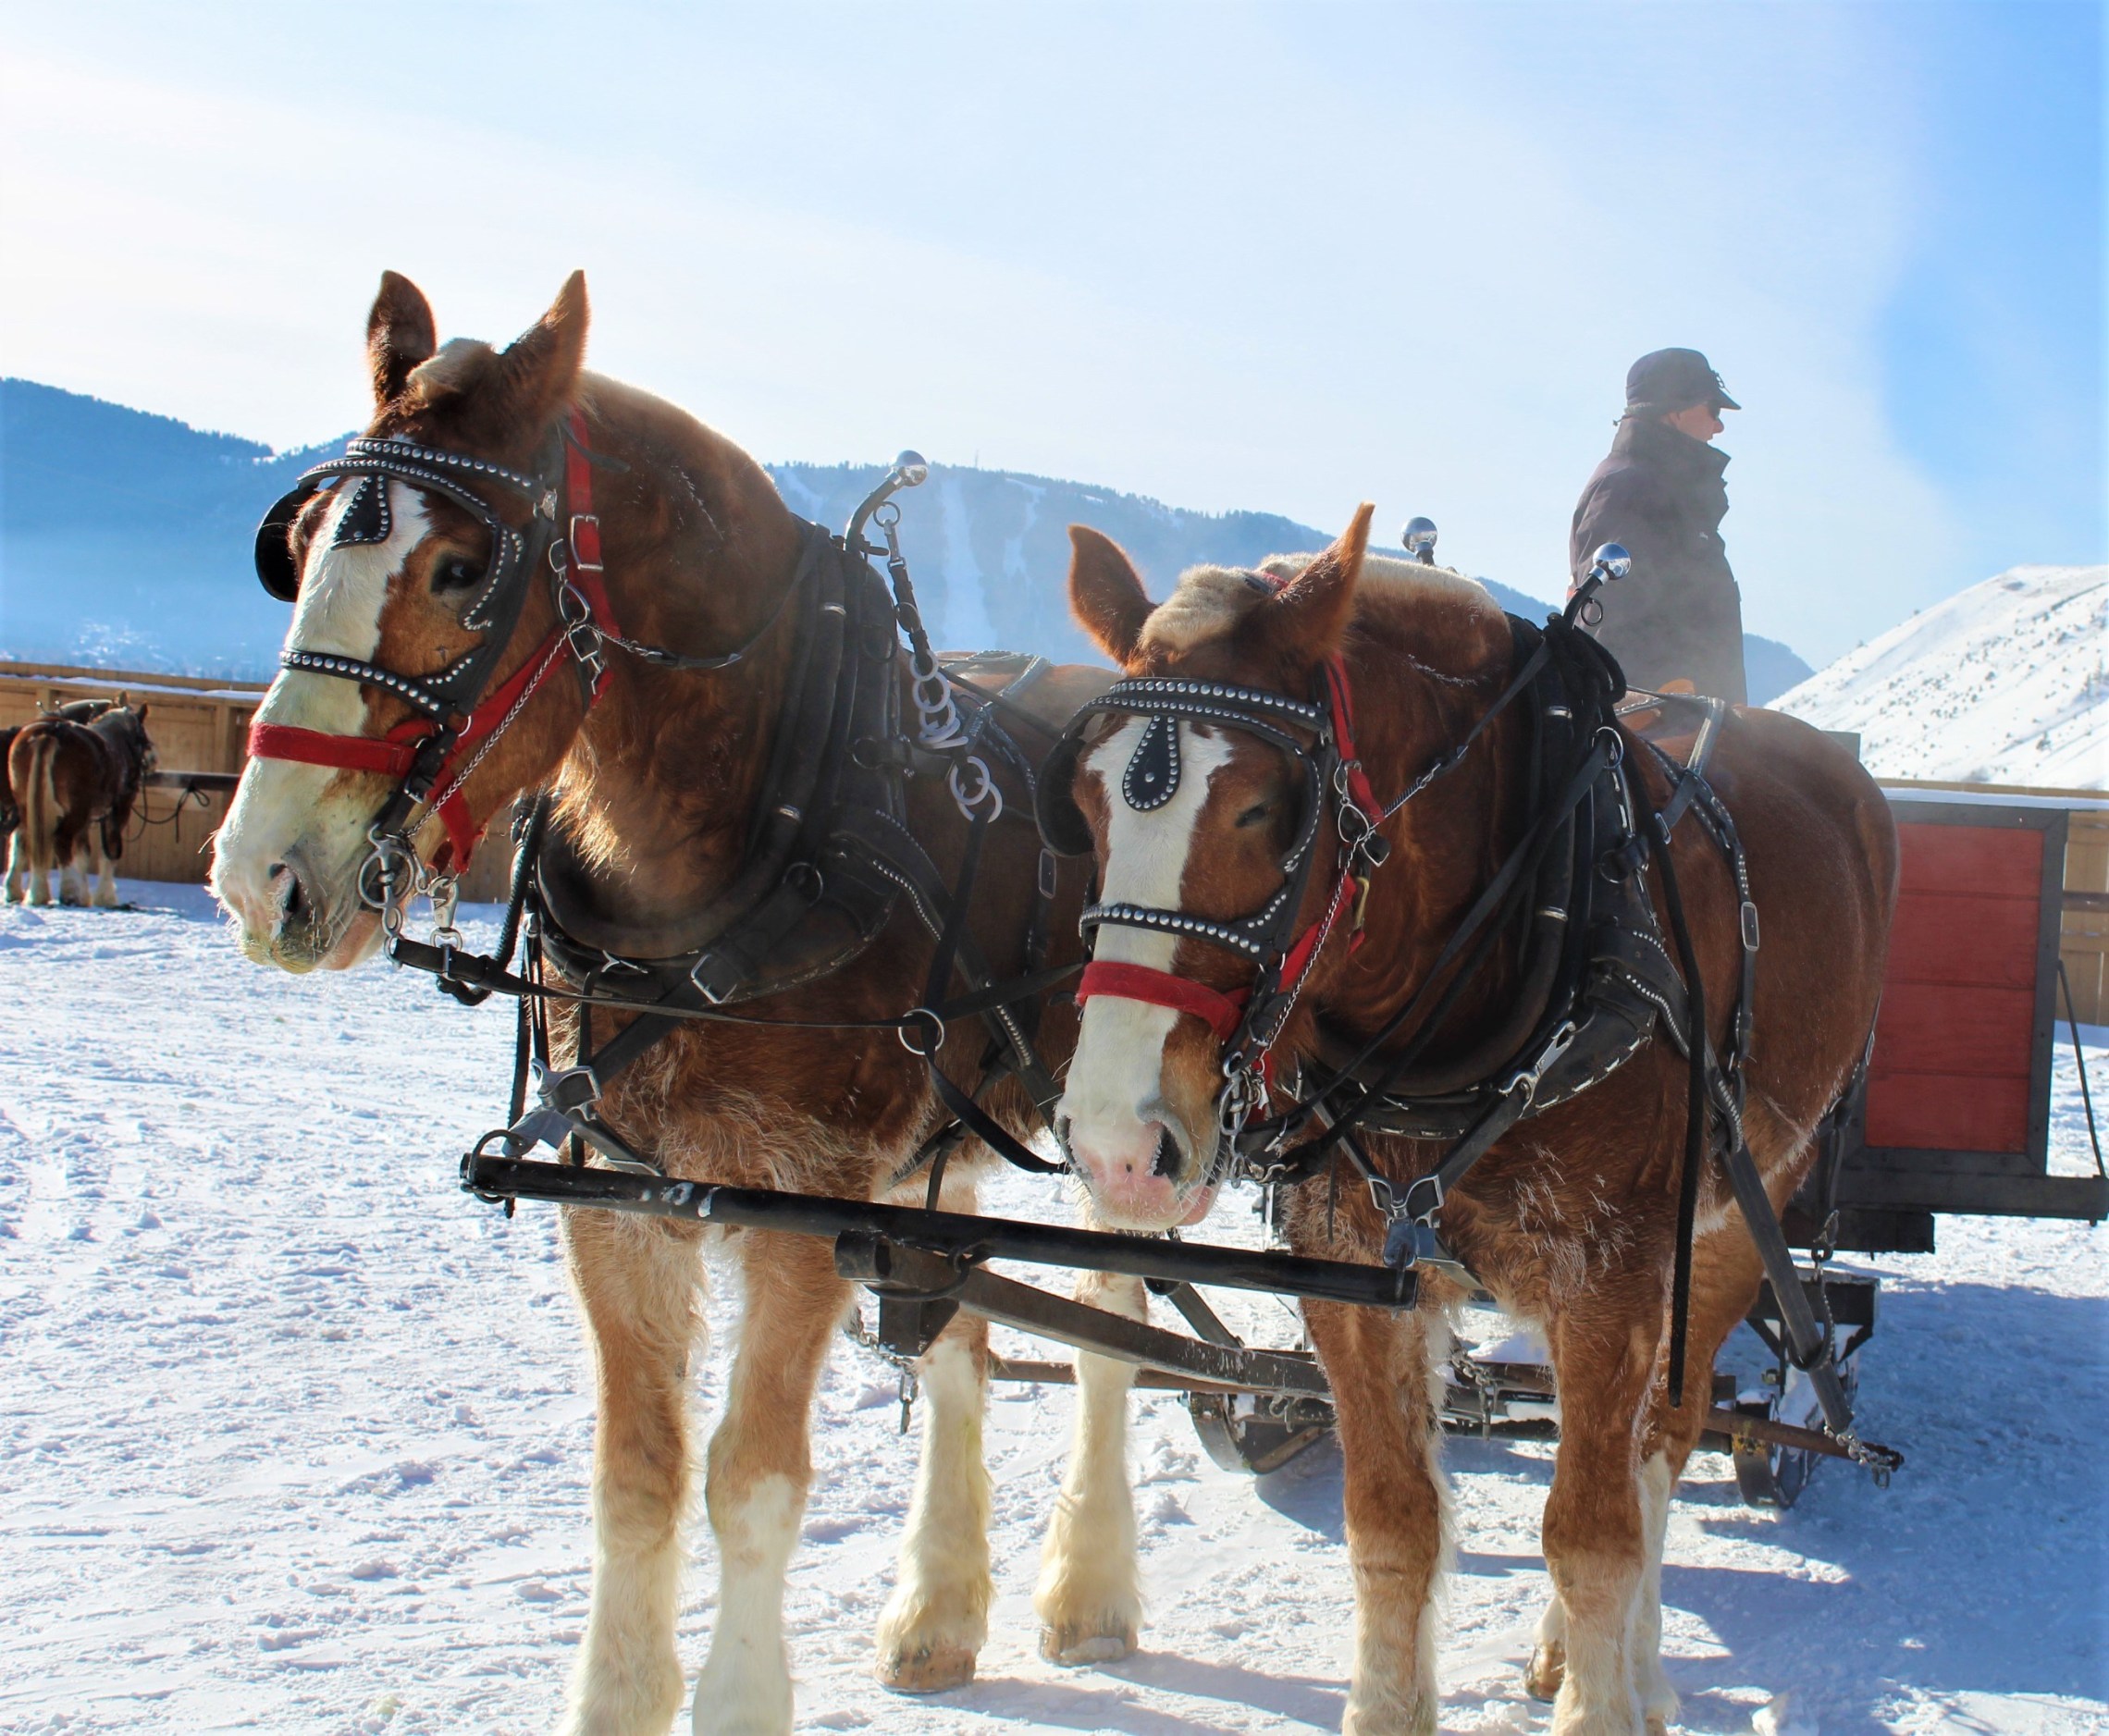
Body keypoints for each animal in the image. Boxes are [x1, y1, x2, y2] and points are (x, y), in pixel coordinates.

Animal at [6, 700, 153, 911]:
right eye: (143, 739)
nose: (150, 762)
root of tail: (52, 731)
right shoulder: (118, 811)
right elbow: (109, 852)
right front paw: (105, 897)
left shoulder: (86, 818)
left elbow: (82, 853)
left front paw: (85, 895)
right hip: (76, 812)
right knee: (61, 840)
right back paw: (68, 894)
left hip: (28, 805)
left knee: (24, 840)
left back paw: (32, 893)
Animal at [212, 274, 1139, 1736]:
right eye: (297, 545)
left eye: (461, 568)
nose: (262, 873)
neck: (770, 836)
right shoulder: (621, 1191)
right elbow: (636, 1474)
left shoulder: (804, 1202)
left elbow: (751, 1476)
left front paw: (743, 1691)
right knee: (959, 1339)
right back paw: (940, 1605)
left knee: (1113, 1324)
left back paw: (1091, 1583)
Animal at [1054, 506, 1898, 1736]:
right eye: (1085, 800)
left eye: (1266, 806)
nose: (1119, 1143)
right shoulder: (1354, 1269)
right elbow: (1391, 1523)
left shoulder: (1614, 1277)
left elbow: (1593, 1534)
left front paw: (1607, 1692)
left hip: (1741, 1214)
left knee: (1663, 1438)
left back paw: (1635, 1666)